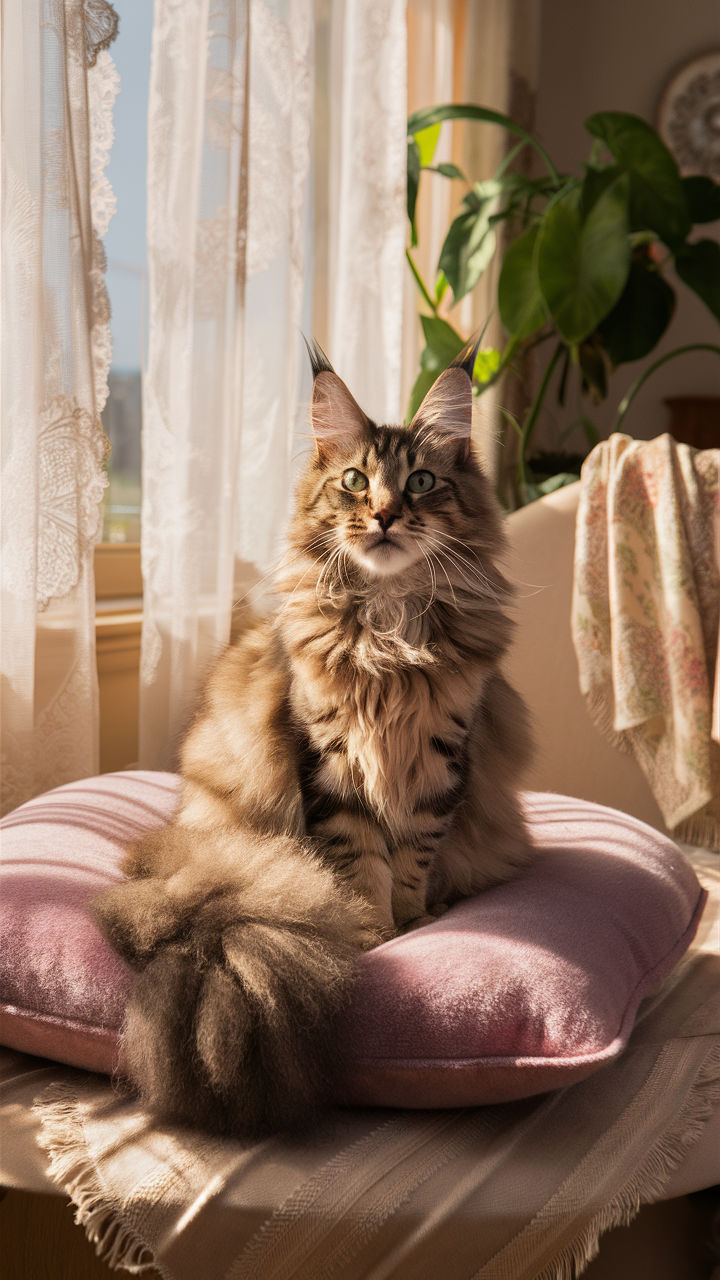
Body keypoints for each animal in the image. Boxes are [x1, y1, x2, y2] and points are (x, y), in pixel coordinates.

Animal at [94, 337, 532, 1131]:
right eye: (355, 481)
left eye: (421, 482)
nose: (385, 516)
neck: (390, 633)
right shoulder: (329, 758)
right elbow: (360, 859)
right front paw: (371, 933)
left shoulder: (443, 759)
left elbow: (413, 856)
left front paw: (412, 920)